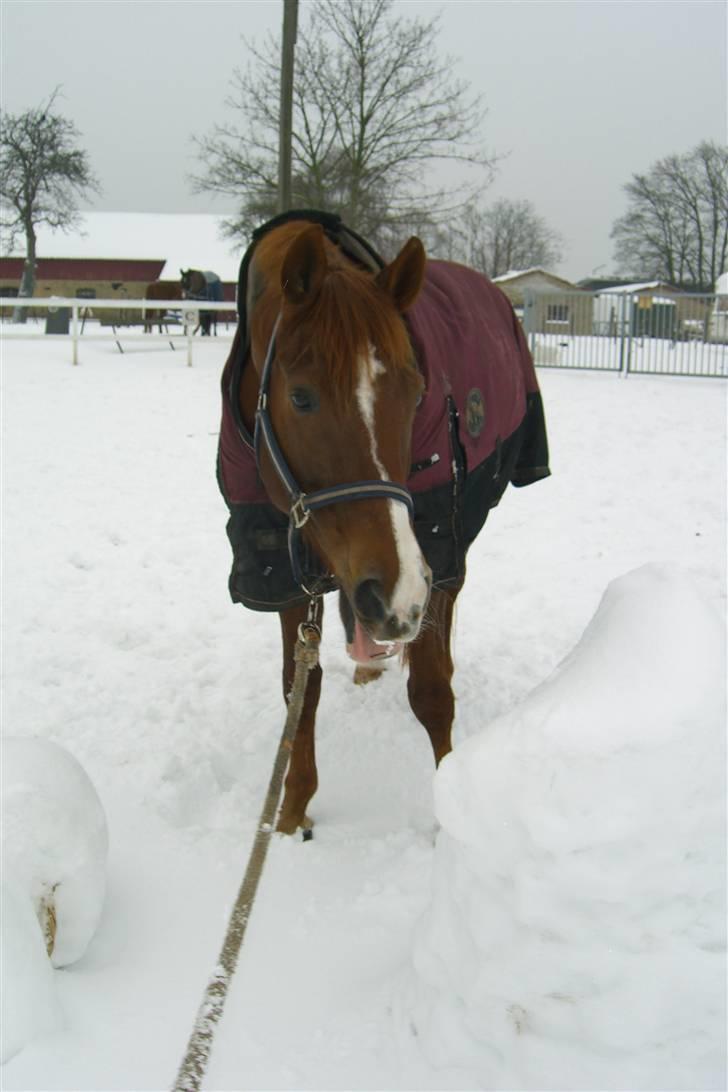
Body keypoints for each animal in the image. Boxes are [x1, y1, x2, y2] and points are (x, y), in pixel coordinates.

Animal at [219, 210, 550, 834]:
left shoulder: (434, 550)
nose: (397, 596)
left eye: (418, 393)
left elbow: (432, 690)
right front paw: (291, 813)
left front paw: (451, 809)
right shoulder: (281, 567)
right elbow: (300, 690)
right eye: (301, 398)